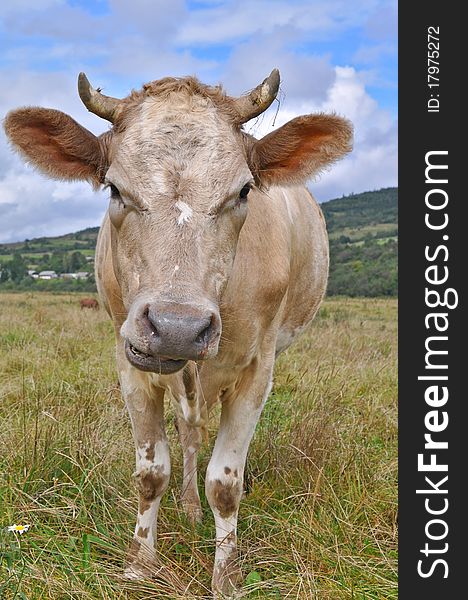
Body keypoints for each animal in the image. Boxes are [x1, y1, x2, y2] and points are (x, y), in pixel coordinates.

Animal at [3, 70, 352, 596]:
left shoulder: (258, 368)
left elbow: (225, 483)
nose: (177, 328)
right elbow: (151, 471)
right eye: (114, 189)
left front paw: (226, 575)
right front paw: (139, 564)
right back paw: (187, 506)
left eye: (244, 191)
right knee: (188, 432)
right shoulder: (128, 359)